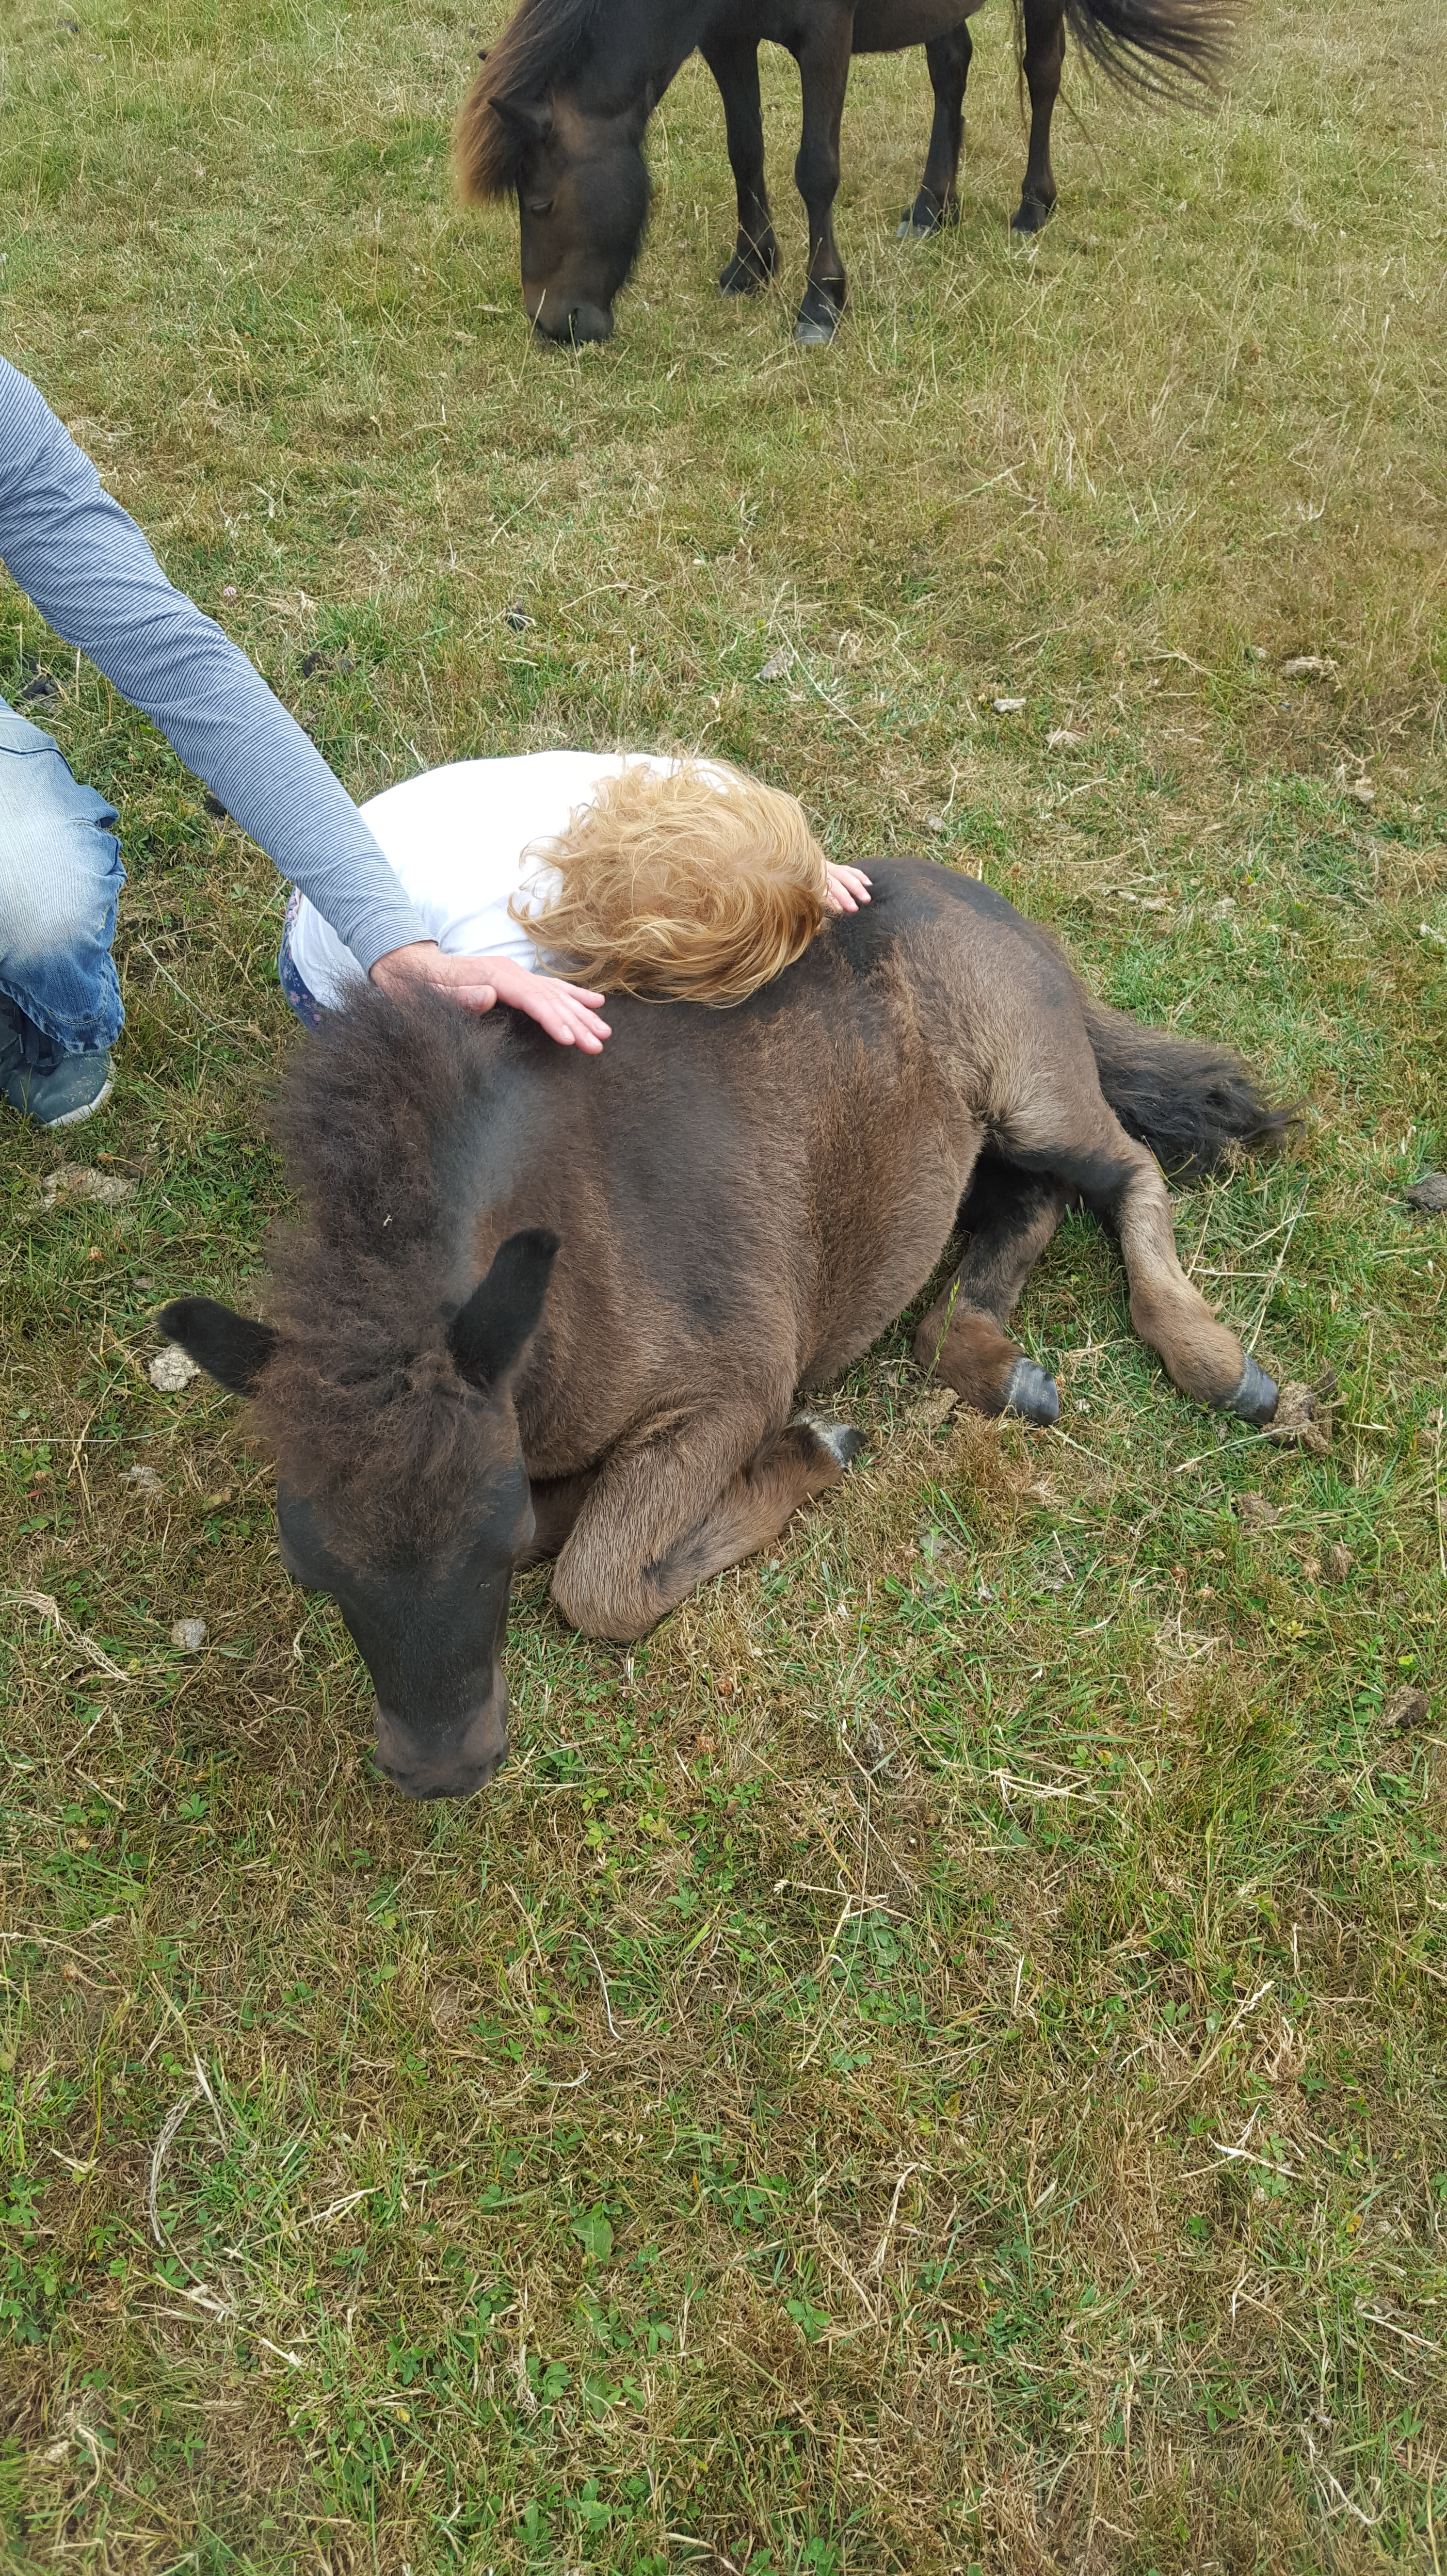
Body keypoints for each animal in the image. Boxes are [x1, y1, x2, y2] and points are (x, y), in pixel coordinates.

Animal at [159, 858, 1289, 1802]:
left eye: (490, 1539)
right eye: (310, 1569)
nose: (443, 1769)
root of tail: (986, 898)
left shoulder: (729, 1389)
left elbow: (598, 1582)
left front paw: (816, 1446)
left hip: (1032, 1087)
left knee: (1120, 1170)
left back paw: (1216, 1364)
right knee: (1024, 1208)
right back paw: (993, 1362)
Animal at [455, 0, 1231, 344]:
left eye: (540, 202)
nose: (552, 323)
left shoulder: (825, 38)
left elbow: (816, 170)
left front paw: (821, 300)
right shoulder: (726, 38)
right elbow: (746, 149)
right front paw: (752, 264)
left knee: (1042, 72)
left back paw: (1033, 207)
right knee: (951, 65)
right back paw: (931, 207)